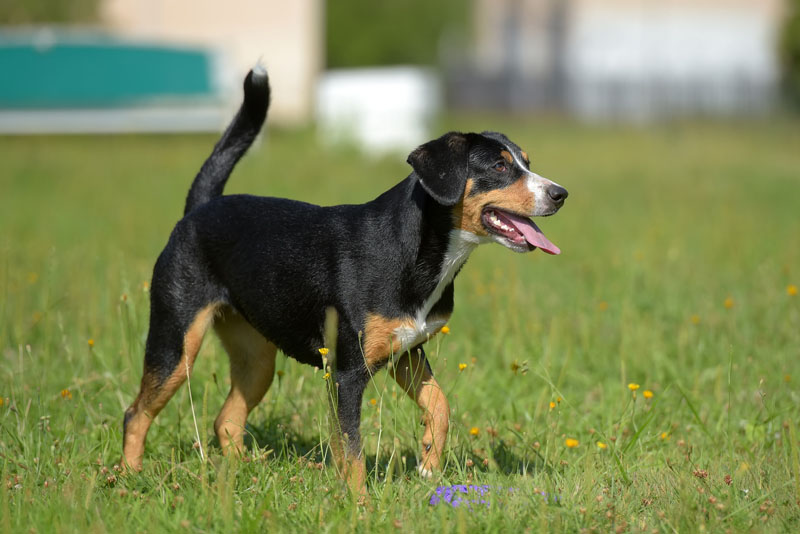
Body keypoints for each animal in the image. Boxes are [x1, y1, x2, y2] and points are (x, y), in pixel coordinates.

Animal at [122, 67, 564, 494]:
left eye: (525, 162)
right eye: (500, 167)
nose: (560, 193)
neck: (415, 253)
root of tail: (198, 209)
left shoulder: (407, 352)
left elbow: (440, 407)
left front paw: (428, 464)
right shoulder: (347, 374)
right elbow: (351, 450)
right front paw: (360, 504)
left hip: (256, 358)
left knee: (227, 420)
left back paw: (240, 474)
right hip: (175, 343)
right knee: (136, 413)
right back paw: (128, 476)